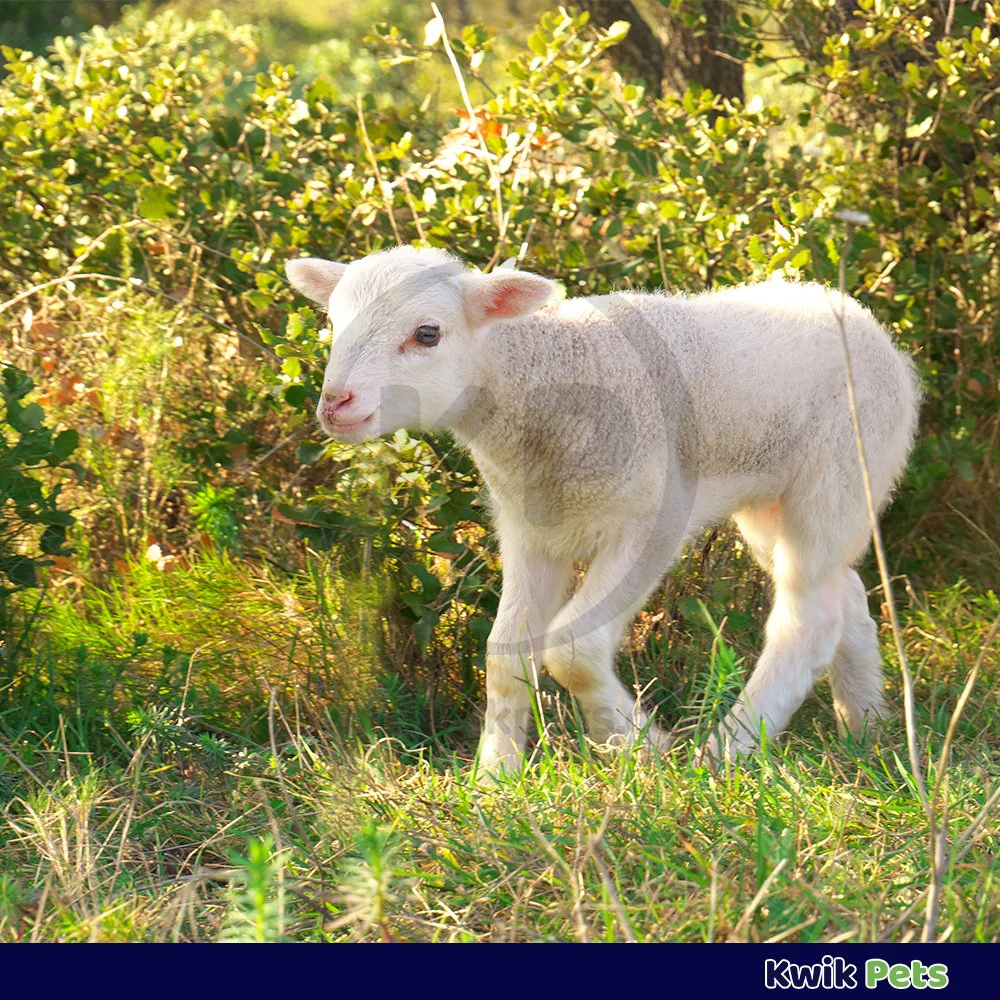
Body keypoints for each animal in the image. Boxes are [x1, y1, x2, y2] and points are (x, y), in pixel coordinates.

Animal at [286, 245, 921, 774]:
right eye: (333, 323)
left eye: (427, 333)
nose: (335, 402)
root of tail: (862, 317)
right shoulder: (529, 529)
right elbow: (503, 653)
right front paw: (496, 776)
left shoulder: (650, 521)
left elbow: (572, 649)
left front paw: (640, 746)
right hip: (774, 499)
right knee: (843, 599)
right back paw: (867, 726)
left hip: (841, 467)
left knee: (806, 618)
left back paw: (730, 747)